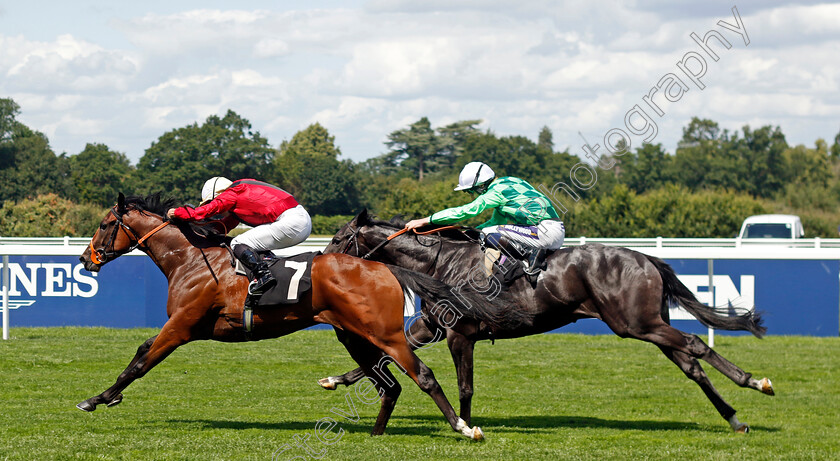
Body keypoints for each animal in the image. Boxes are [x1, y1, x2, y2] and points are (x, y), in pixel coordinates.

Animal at [74, 193, 520, 438]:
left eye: (105, 224)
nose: (85, 259)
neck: (191, 258)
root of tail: (385, 268)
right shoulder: (183, 327)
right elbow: (141, 355)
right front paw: (102, 397)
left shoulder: (181, 326)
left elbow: (141, 360)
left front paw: (98, 398)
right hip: (354, 336)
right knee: (389, 386)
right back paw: (375, 434)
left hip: (387, 335)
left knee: (421, 376)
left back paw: (464, 428)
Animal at [320, 210, 776, 434]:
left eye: (340, 238)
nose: (322, 261)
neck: (441, 263)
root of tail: (646, 259)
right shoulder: (432, 327)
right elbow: (385, 358)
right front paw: (335, 379)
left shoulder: (459, 334)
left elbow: (465, 386)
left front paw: (466, 424)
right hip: (647, 324)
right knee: (690, 363)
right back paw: (734, 417)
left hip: (634, 323)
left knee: (695, 345)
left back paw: (756, 382)